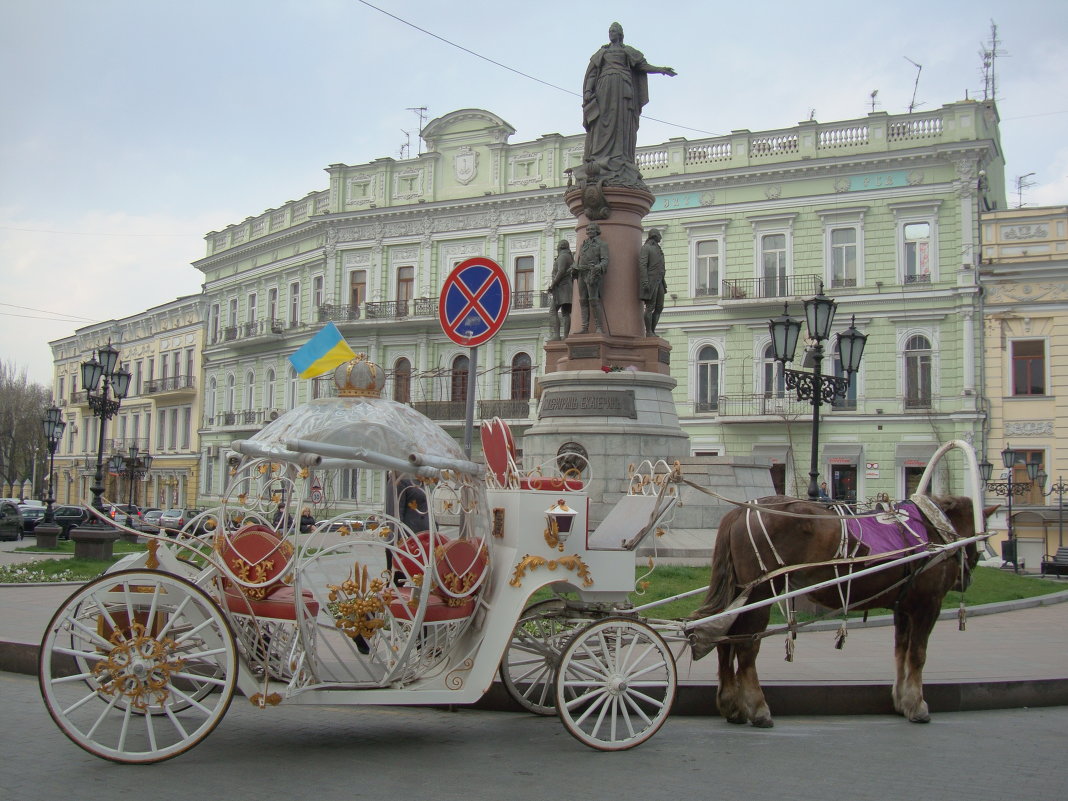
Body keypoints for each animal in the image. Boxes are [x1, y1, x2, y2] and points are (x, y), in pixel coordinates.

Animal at [687, 495, 986, 726]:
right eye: (976, 542)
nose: (966, 578)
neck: (932, 530)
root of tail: (740, 510)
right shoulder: (927, 604)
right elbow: (918, 655)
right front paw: (917, 704)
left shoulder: (903, 607)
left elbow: (901, 651)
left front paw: (902, 700)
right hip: (760, 592)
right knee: (747, 645)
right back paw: (758, 708)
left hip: (741, 592)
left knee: (725, 638)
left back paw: (732, 706)